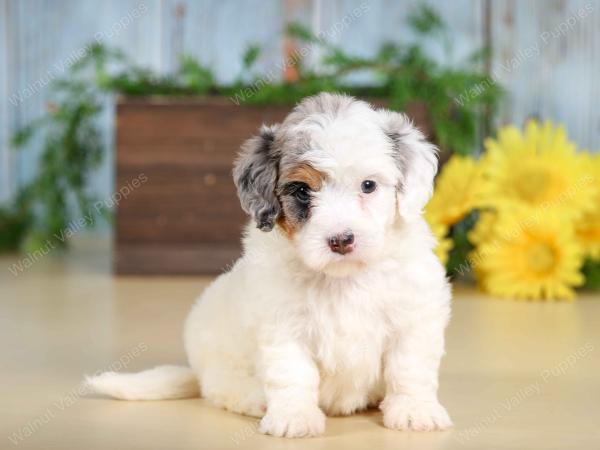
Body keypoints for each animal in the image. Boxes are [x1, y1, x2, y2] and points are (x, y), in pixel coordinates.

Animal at [88, 93, 450, 438]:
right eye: (302, 190)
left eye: (368, 185)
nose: (341, 240)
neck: (341, 278)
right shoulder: (283, 327)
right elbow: (292, 374)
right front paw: (294, 416)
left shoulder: (413, 316)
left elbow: (409, 367)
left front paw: (415, 410)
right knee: (219, 388)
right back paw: (255, 400)